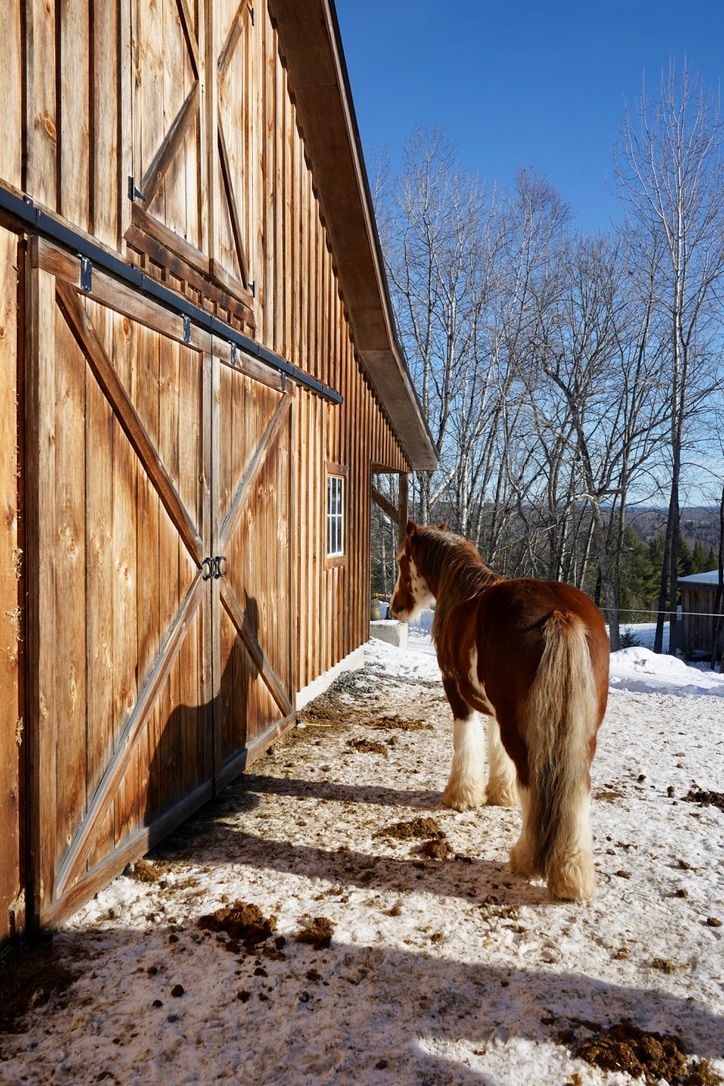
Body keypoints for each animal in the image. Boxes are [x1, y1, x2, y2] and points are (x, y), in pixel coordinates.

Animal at [390, 520, 609, 901]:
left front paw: (462, 797)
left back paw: (526, 859)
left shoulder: (456, 692)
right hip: (580, 737)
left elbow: (466, 741)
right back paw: (572, 875)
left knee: (533, 781)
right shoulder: (496, 711)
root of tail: (560, 614)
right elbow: (495, 750)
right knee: (577, 789)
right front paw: (499, 794)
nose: (395, 607)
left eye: (403, 560)